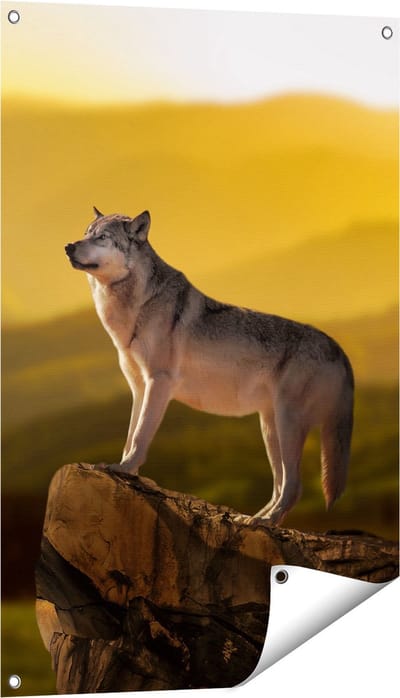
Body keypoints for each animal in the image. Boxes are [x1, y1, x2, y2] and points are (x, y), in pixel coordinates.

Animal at [65, 208, 354, 524]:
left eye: (102, 237)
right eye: (86, 233)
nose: (68, 247)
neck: (137, 305)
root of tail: (339, 349)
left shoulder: (159, 382)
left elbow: (140, 435)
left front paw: (125, 469)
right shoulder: (139, 388)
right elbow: (130, 435)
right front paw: (124, 469)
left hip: (288, 424)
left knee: (294, 485)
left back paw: (265, 522)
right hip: (270, 428)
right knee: (280, 485)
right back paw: (253, 519)